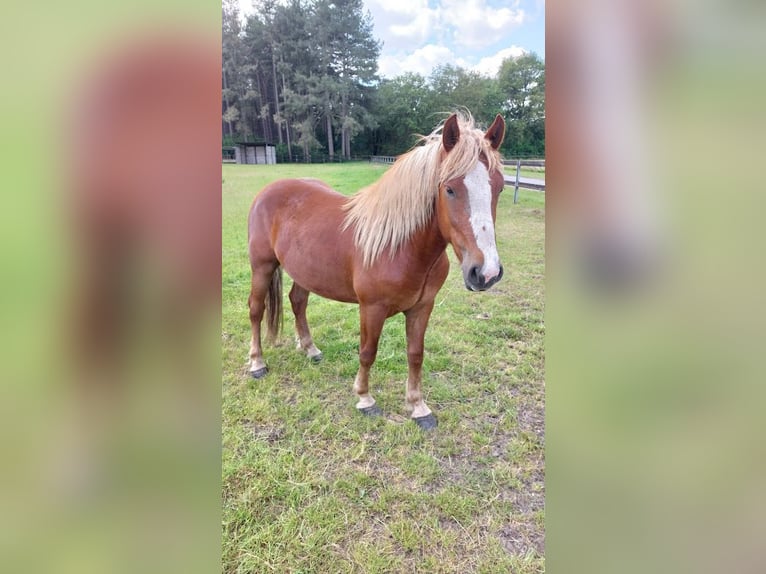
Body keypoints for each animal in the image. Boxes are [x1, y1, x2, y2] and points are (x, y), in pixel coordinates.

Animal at [249, 112, 508, 430]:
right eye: (449, 189)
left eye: (499, 187)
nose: (486, 272)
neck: (400, 246)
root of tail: (269, 190)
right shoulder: (372, 308)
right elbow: (368, 352)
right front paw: (365, 398)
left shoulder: (422, 307)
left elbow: (416, 354)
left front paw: (418, 406)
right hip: (261, 267)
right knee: (256, 310)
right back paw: (257, 363)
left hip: (304, 272)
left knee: (297, 302)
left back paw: (310, 349)